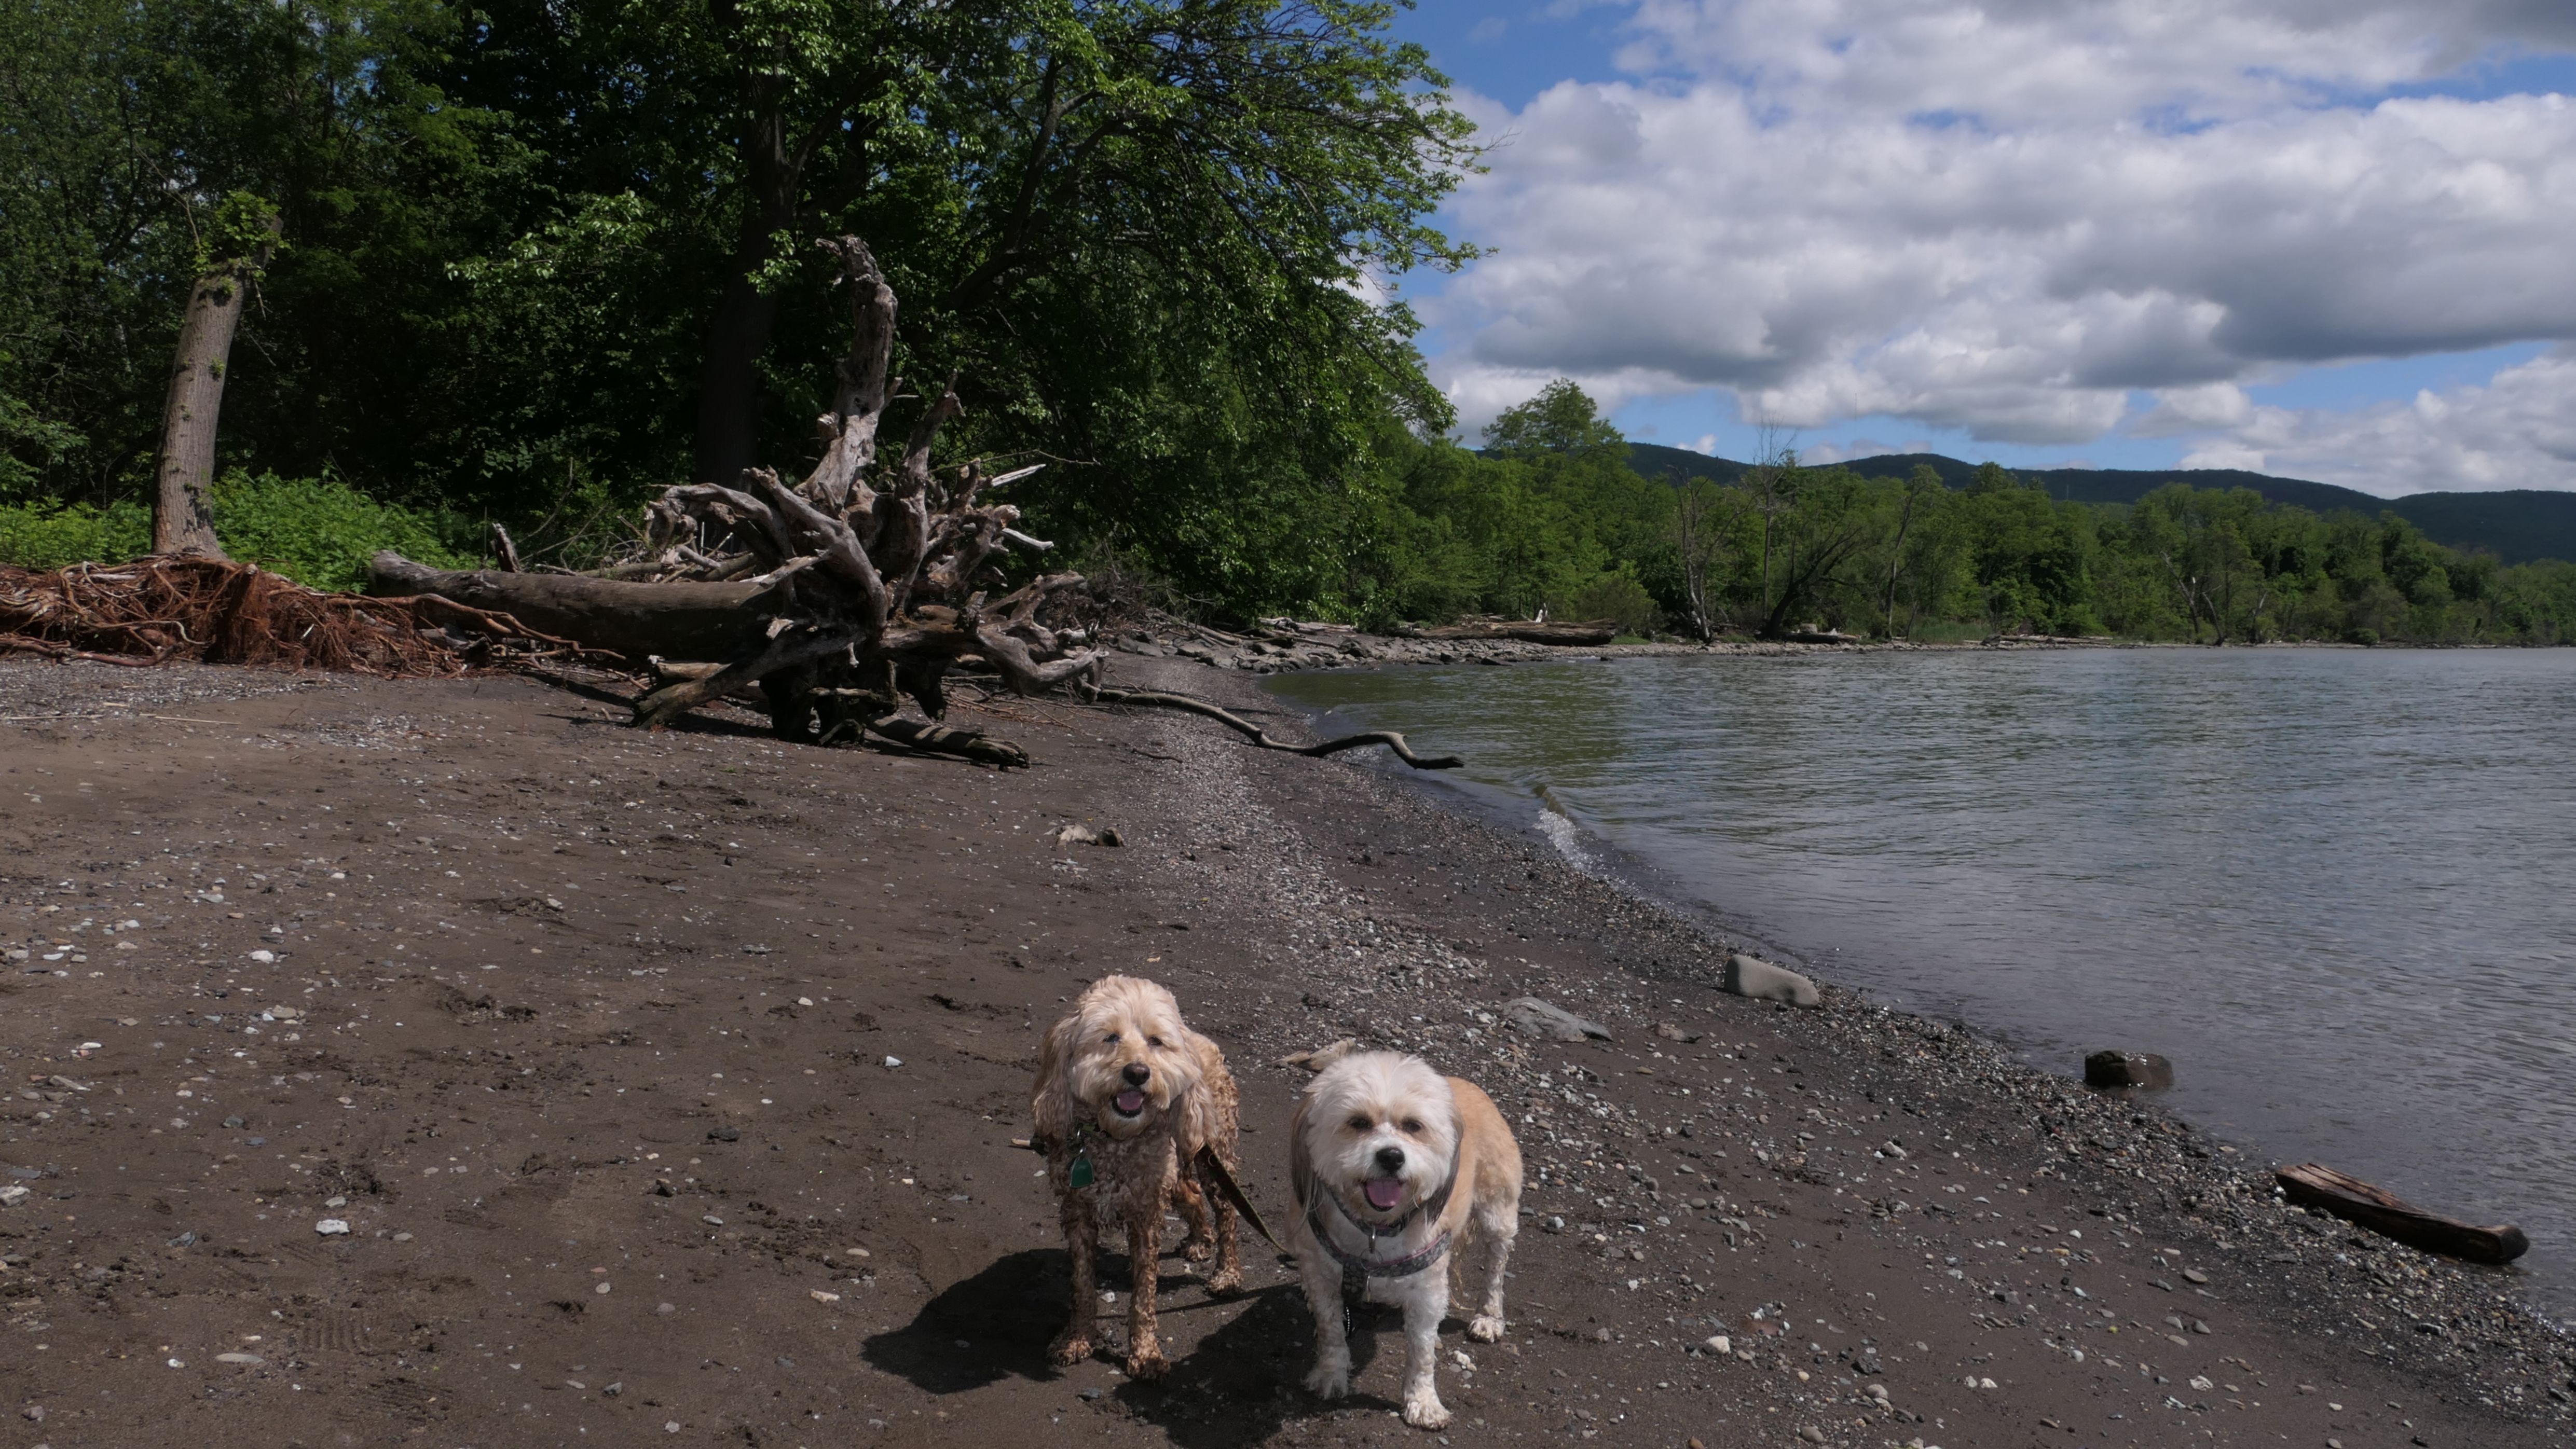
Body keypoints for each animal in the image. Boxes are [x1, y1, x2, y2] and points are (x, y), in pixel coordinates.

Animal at [1031, 975, 1242, 1377]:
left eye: (1155, 1041)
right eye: (1110, 1037)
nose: (1138, 1073)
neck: (1114, 1139)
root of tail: (1201, 1040)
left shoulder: (1146, 1216)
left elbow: (1144, 1292)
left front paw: (1145, 1353)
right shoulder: (1078, 1211)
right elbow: (1082, 1283)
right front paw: (1078, 1338)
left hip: (1214, 1152)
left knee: (1227, 1211)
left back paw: (1227, 1273)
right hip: (1176, 1169)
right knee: (1191, 1194)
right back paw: (1199, 1240)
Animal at [1289, 1050, 1522, 1430]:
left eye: (1414, 1126)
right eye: (1358, 1122)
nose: (1391, 1156)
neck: (1376, 1228)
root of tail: (1471, 1086)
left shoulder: (1427, 1291)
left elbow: (1422, 1351)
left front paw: (1423, 1401)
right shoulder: (1319, 1277)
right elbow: (1332, 1330)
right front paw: (1330, 1374)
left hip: (1497, 1210)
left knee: (1496, 1267)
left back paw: (1489, 1316)